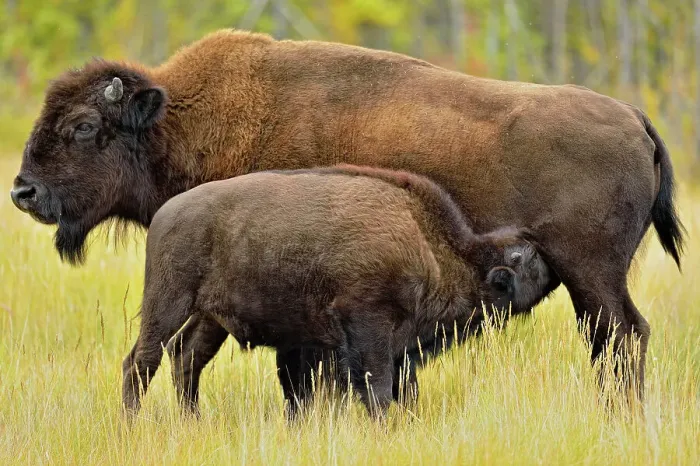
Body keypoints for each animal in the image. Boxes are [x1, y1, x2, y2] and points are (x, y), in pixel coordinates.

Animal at [122, 165, 553, 418]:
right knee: (141, 361)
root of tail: (165, 213)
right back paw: (132, 422)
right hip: (169, 301)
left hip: (210, 318)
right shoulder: (369, 325)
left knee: (186, 357)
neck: (430, 246)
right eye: (526, 260)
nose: (549, 262)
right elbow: (376, 386)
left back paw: (192, 421)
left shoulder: (397, 346)